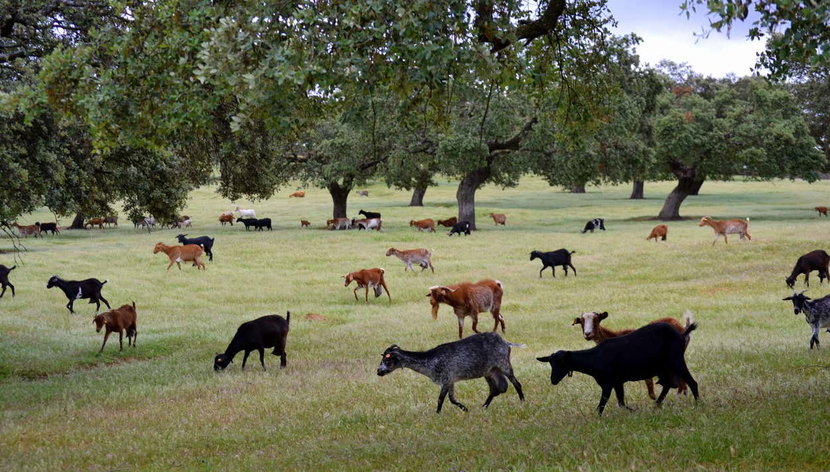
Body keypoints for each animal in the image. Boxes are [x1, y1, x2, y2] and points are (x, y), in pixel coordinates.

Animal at [377, 333, 525, 413]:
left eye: (387, 359)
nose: (379, 372)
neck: (430, 360)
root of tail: (505, 343)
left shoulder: (446, 379)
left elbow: (440, 399)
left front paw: (437, 414)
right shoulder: (451, 381)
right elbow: (452, 399)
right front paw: (465, 409)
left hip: (504, 365)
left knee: (516, 384)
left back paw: (522, 402)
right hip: (490, 372)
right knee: (495, 389)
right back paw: (483, 407)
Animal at [537, 322, 699, 415]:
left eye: (562, 363)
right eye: (551, 363)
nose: (553, 380)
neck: (594, 358)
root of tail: (682, 334)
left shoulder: (608, 383)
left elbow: (602, 404)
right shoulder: (617, 382)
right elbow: (621, 402)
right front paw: (633, 411)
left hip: (676, 360)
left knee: (692, 382)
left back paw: (697, 404)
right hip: (664, 367)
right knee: (668, 385)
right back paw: (657, 405)